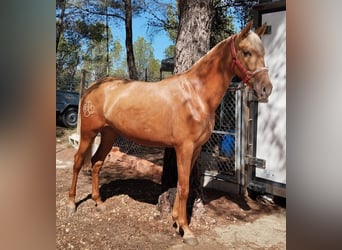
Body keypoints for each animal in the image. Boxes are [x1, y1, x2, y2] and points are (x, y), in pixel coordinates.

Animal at [69, 22, 272, 246]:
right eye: (247, 52)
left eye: (263, 53)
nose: (266, 89)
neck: (195, 95)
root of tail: (93, 86)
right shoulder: (184, 147)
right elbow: (183, 187)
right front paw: (186, 230)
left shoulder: (195, 149)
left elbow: (183, 185)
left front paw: (177, 221)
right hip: (89, 133)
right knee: (78, 161)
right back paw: (71, 203)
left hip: (109, 134)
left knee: (96, 162)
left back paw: (99, 202)